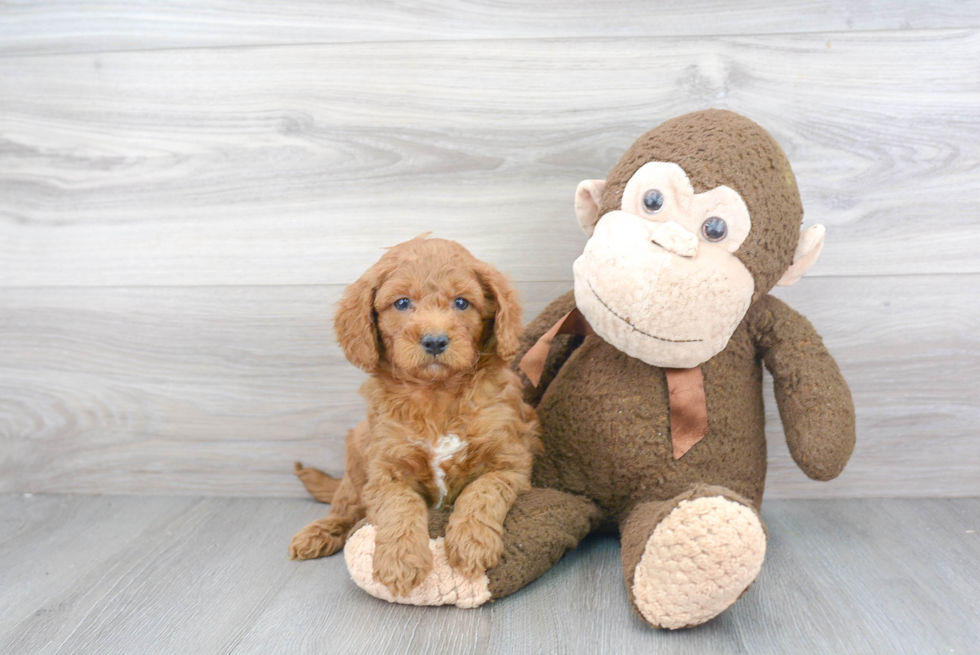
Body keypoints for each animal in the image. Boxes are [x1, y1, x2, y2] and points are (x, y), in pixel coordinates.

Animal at [288, 237, 540, 600]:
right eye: (402, 303)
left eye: (461, 302)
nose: (434, 340)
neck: (436, 394)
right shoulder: (386, 468)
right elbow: (400, 505)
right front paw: (400, 559)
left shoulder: (510, 461)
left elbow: (481, 493)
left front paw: (471, 543)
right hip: (358, 446)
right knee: (345, 504)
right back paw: (319, 532)